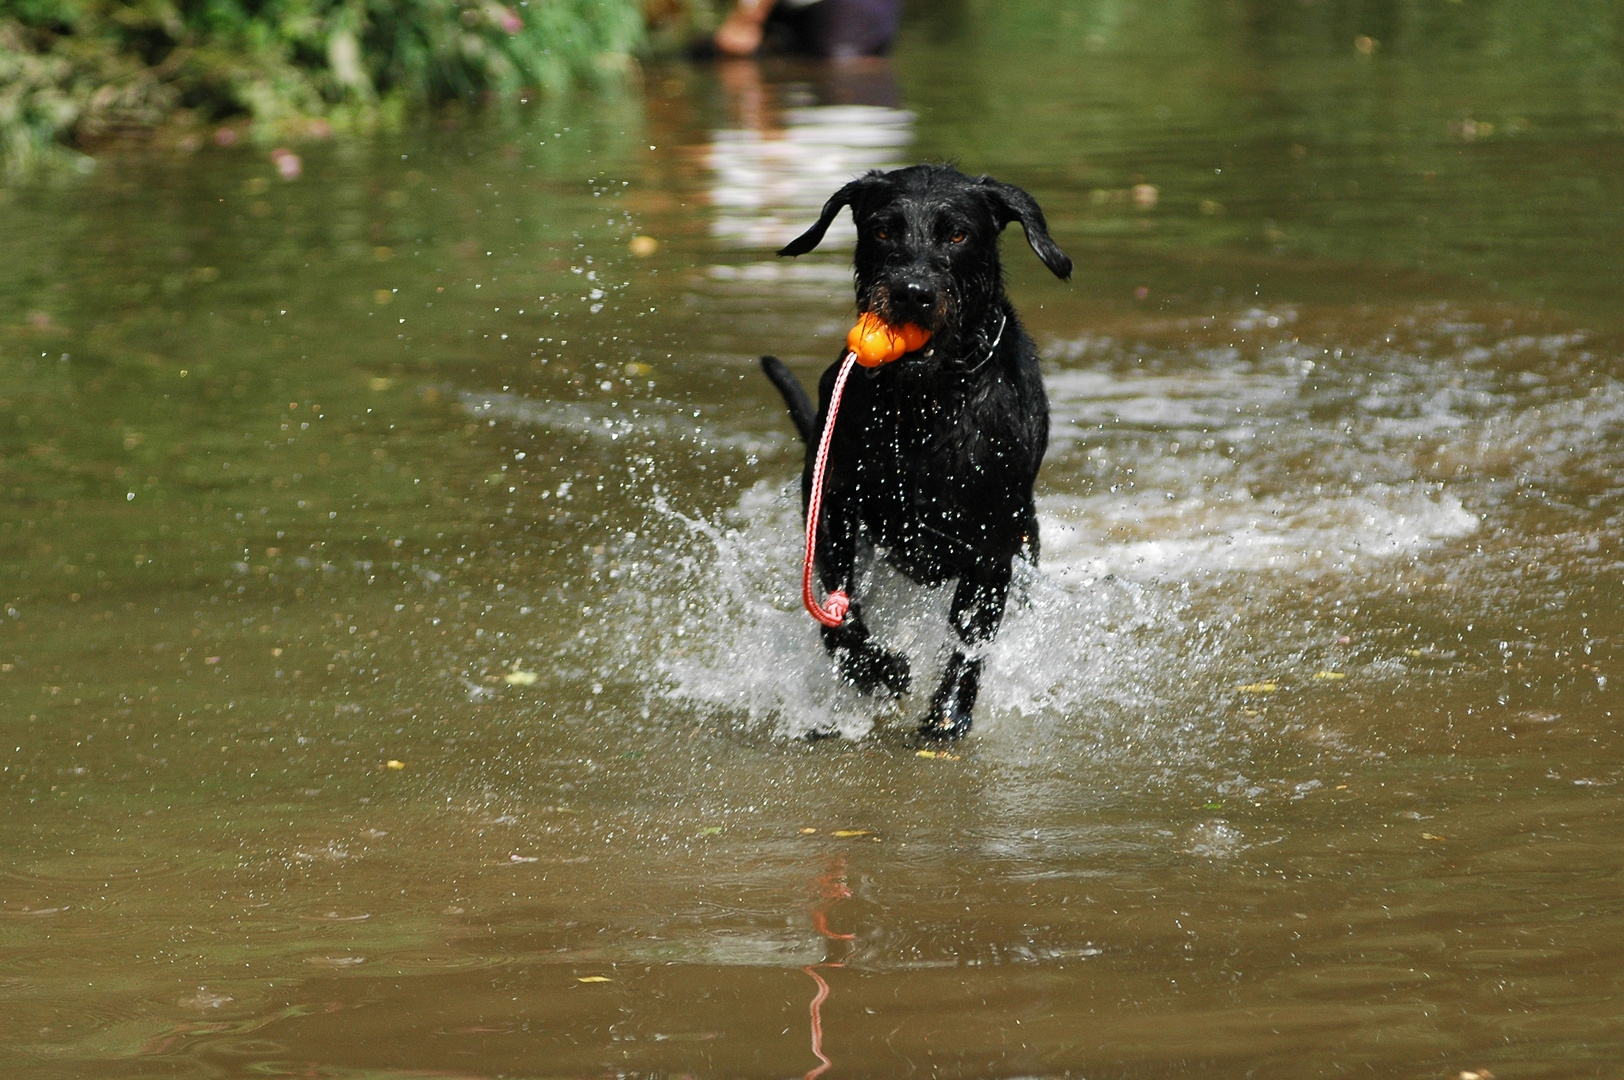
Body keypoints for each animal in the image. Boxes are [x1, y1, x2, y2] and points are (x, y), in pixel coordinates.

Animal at [763, 164, 1071, 737]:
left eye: (958, 235)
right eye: (884, 229)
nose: (912, 293)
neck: (927, 400)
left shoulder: (992, 545)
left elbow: (970, 637)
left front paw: (948, 715)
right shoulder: (834, 506)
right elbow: (837, 616)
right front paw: (877, 670)